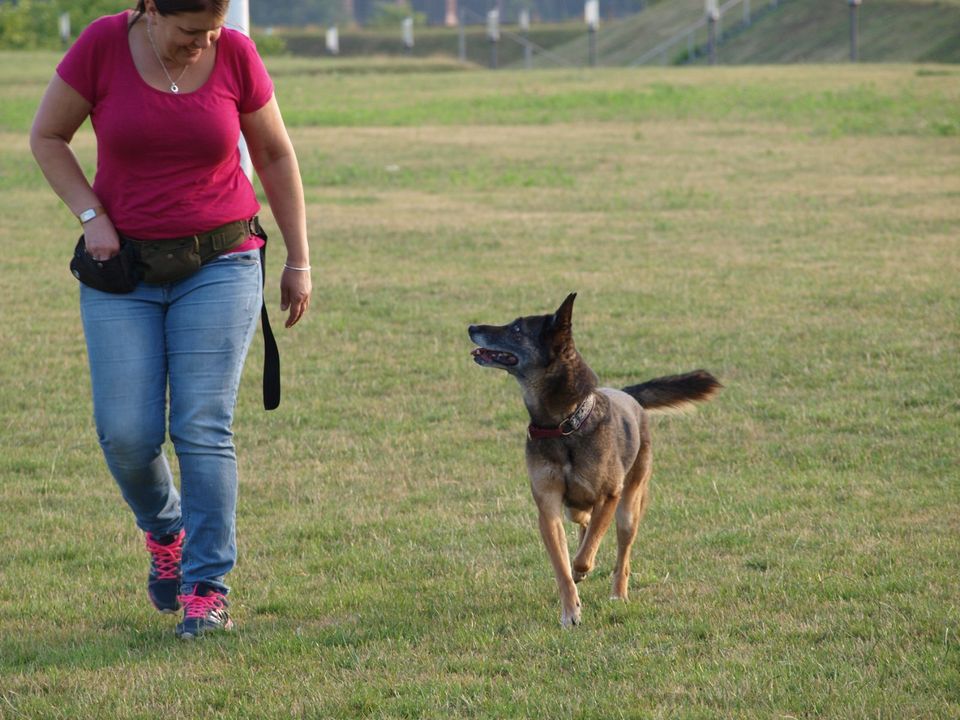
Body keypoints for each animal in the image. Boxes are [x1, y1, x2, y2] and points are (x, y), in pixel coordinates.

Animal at [464, 296, 720, 628]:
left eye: (517, 329)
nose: (471, 327)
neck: (564, 424)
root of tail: (627, 395)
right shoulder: (548, 508)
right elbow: (562, 565)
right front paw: (570, 610)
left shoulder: (609, 496)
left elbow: (584, 557)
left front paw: (581, 571)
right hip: (575, 509)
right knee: (584, 523)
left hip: (628, 508)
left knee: (621, 554)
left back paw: (618, 593)